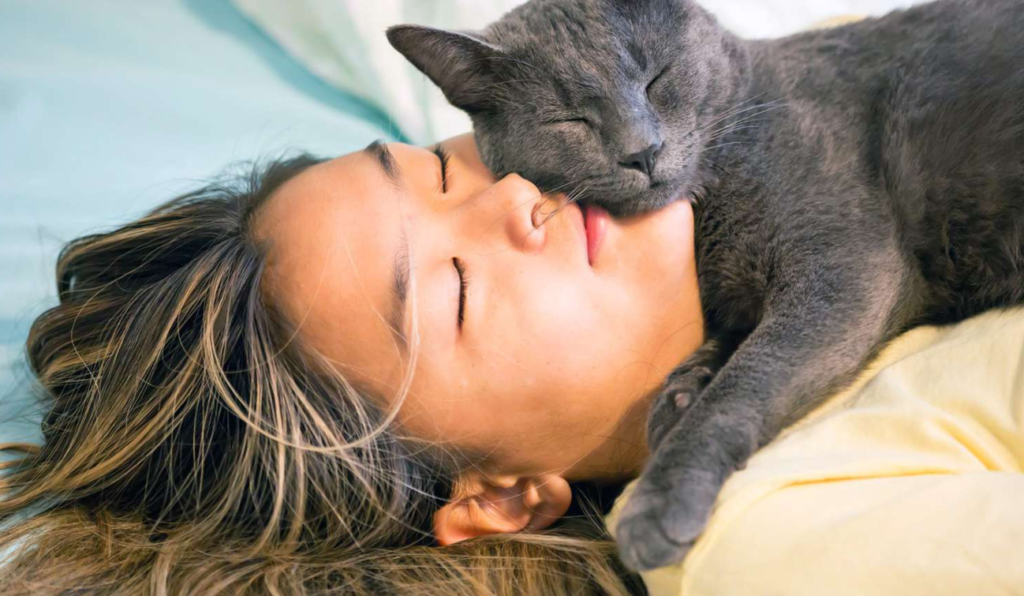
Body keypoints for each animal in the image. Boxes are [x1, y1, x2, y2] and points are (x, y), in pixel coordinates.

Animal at [385, 0, 1024, 573]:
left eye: (657, 79)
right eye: (570, 119)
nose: (642, 150)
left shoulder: (843, 265)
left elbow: (749, 377)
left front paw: (661, 496)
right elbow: (729, 340)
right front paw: (682, 389)